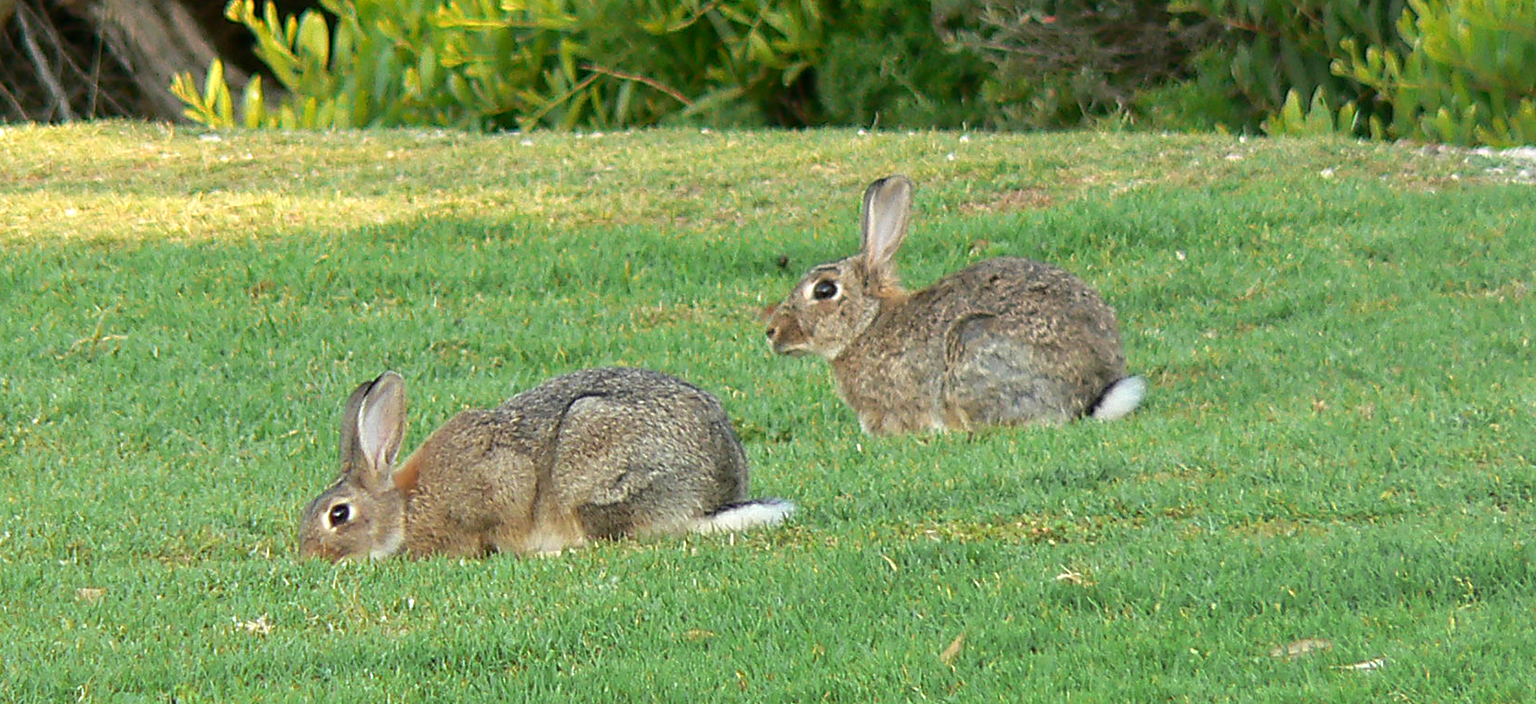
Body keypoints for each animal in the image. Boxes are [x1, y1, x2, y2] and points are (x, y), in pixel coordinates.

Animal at [299, 367, 793, 561]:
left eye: (338, 515)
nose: (308, 557)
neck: (404, 507)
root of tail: (707, 502)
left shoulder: (499, 485)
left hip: (593, 473)